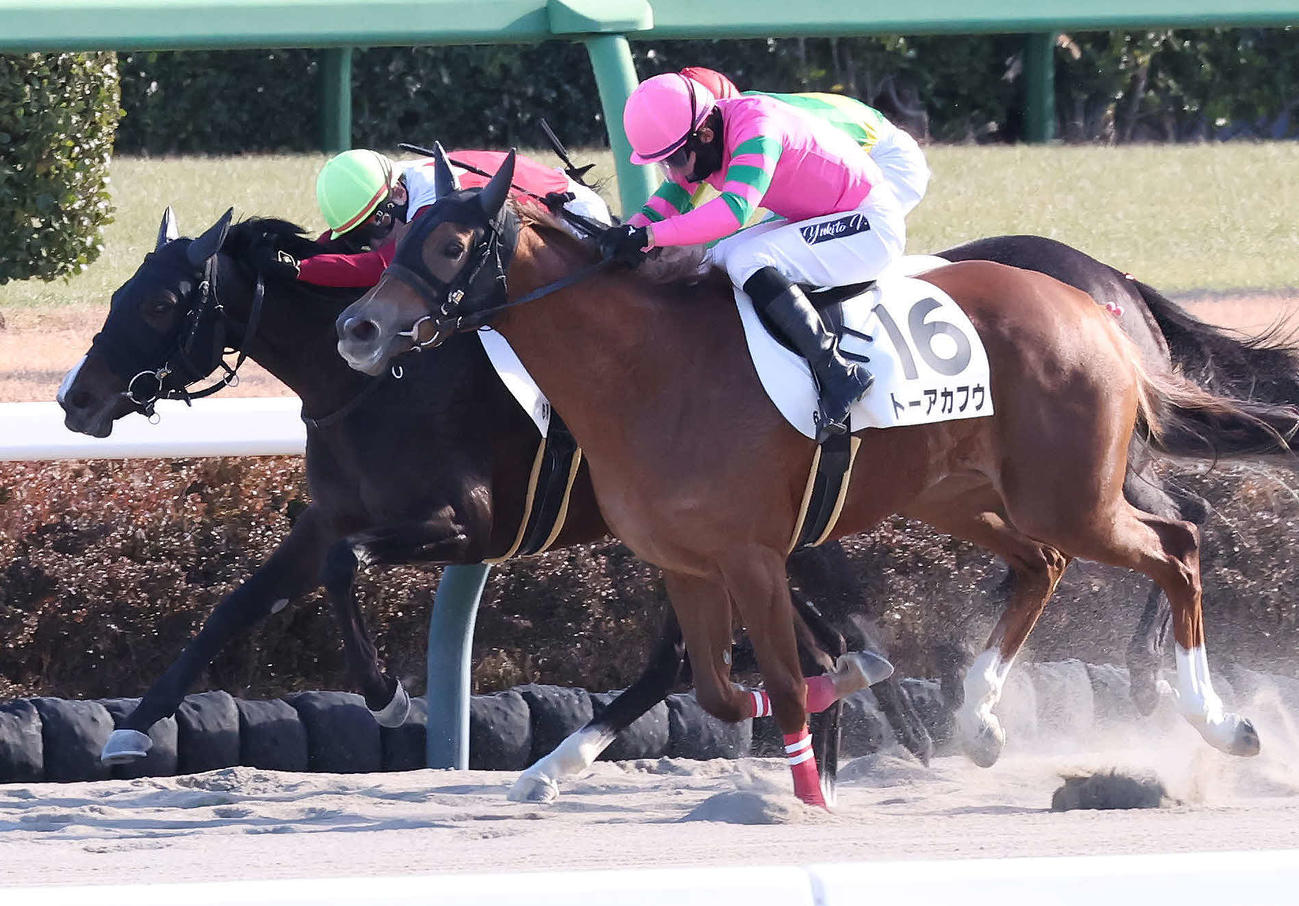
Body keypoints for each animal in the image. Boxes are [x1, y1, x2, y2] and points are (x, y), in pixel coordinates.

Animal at [57, 209, 883, 803]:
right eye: (119, 293)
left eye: (161, 303)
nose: (74, 398)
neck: (370, 380)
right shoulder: (328, 516)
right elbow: (237, 604)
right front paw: (131, 731)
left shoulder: (466, 525)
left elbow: (343, 567)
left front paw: (387, 697)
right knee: (810, 647)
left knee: (703, 654)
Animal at [335, 149, 1298, 806]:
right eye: (399, 236)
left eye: (451, 244)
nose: (358, 329)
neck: (646, 370)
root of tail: (1094, 303)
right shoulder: (686, 563)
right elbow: (726, 692)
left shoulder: (756, 555)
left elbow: (790, 678)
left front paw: (813, 784)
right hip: (964, 493)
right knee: (1044, 564)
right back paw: (979, 716)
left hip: (1071, 496)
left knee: (1174, 544)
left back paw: (1217, 720)